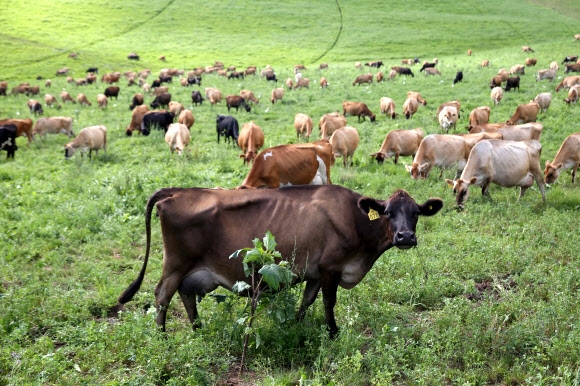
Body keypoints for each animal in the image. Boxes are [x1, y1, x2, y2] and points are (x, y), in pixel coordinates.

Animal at [115, 185, 444, 338]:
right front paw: (333, 332)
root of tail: (176, 191)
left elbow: (307, 301)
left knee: (185, 295)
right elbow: (328, 302)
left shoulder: (315, 272)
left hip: (192, 270)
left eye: (416, 213)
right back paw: (162, 337)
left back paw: (198, 329)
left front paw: (296, 326)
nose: (405, 236)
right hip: (175, 263)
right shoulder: (331, 267)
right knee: (162, 295)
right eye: (388, 212)